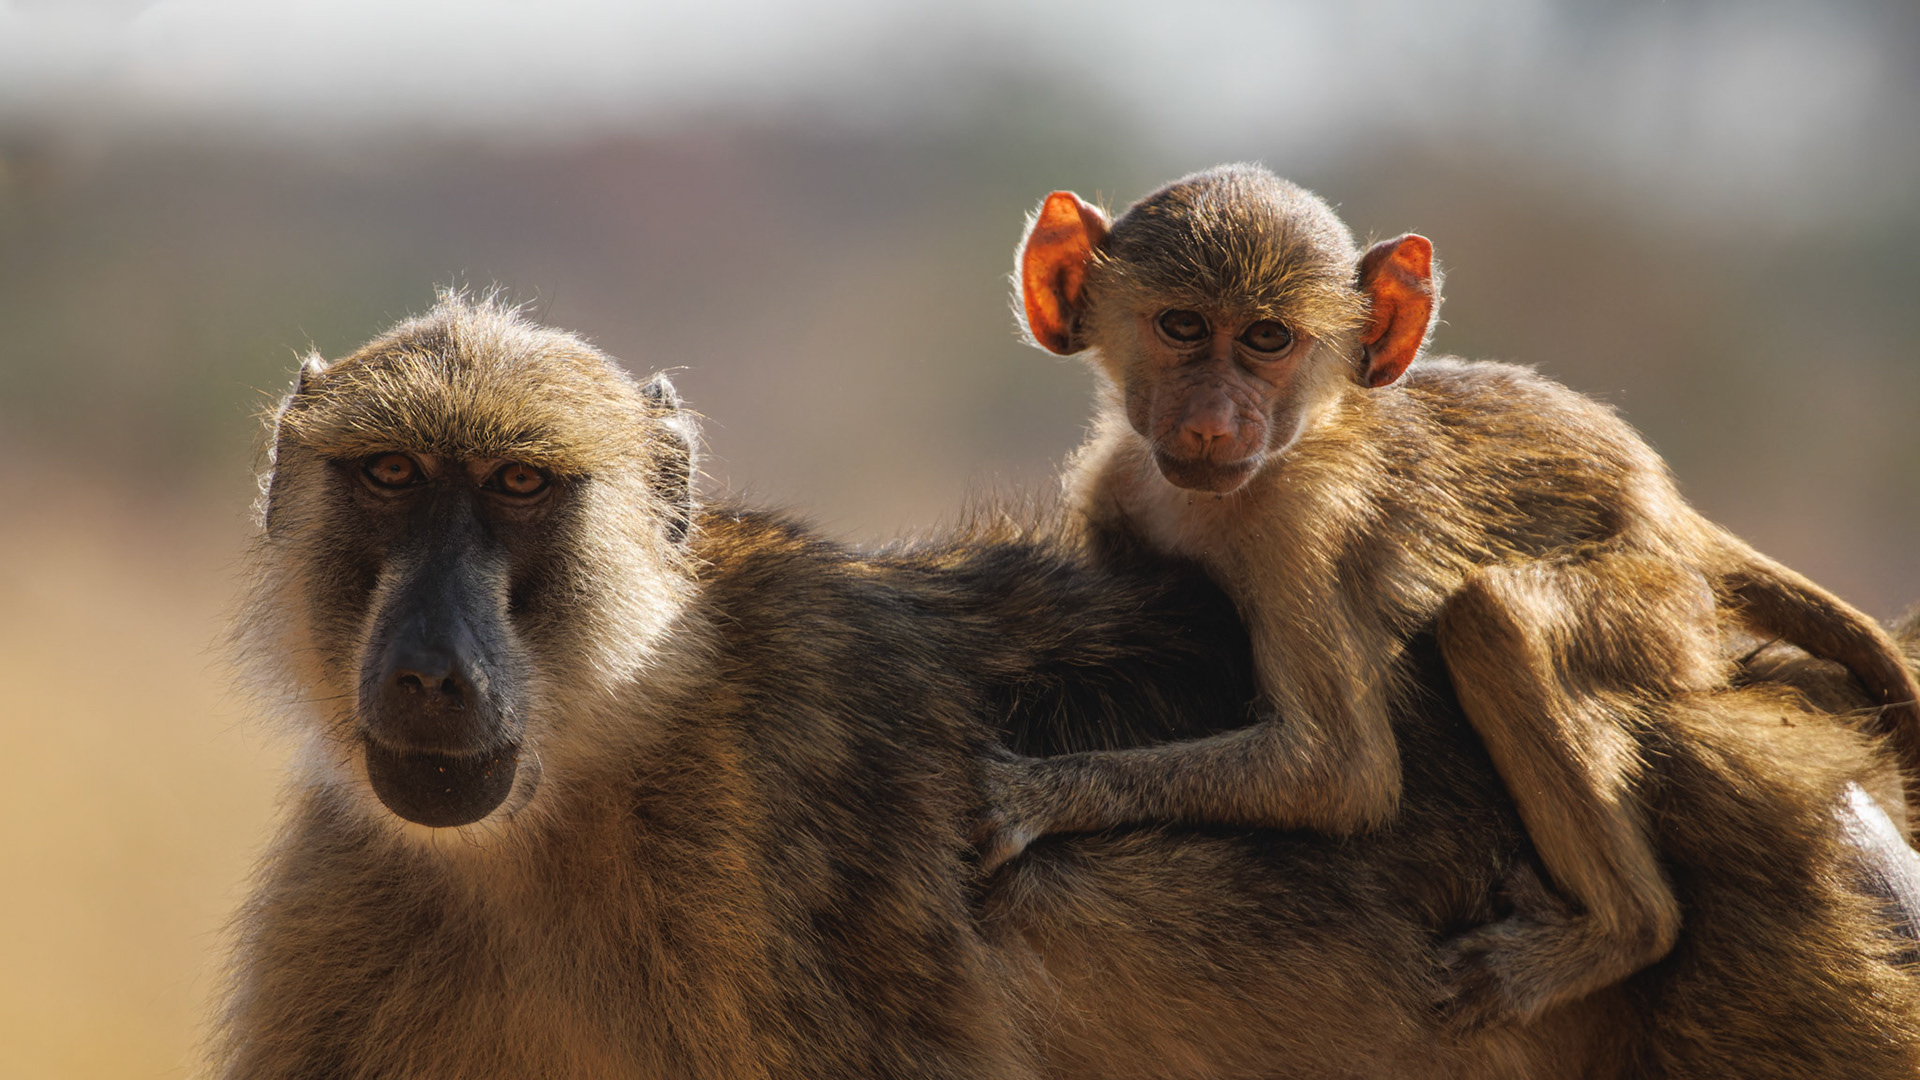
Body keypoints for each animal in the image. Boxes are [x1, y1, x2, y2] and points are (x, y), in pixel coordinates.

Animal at [993, 162, 1920, 1028]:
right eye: (1183, 327)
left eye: (1267, 339)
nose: (1214, 424)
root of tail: (1674, 517)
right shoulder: (1118, 486)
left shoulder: (1301, 526)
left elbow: (1342, 772)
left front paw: (1048, 793)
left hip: (1666, 609)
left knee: (1494, 620)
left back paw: (1625, 930)